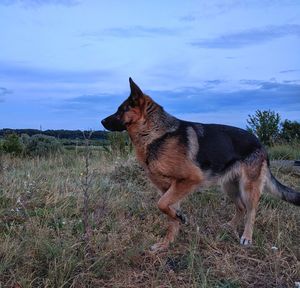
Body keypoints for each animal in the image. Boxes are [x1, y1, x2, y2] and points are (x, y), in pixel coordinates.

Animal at [101, 77, 300, 251]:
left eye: (121, 110)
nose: (101, 121)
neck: (155, 133)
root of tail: (259, 142)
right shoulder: (169, 189)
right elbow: (168, 215)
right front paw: (167, 243)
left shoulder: (188, 180)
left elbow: (161, 205)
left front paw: (178, 222)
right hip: (229, 186)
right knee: (241, 207)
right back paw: (229, 226)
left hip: (248, 187)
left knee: (251, 211)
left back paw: (247, 237)